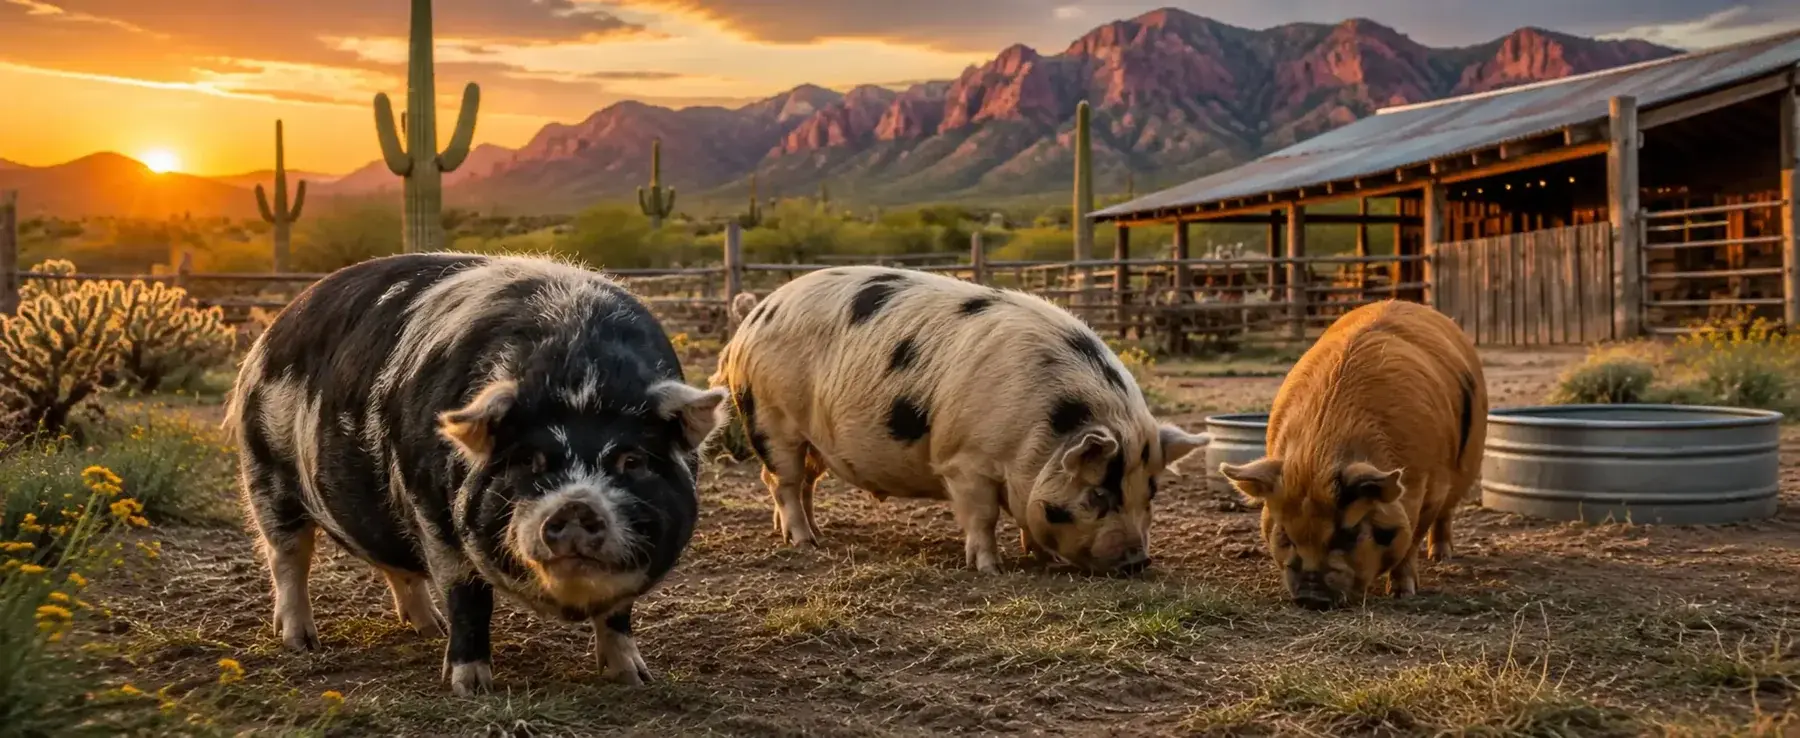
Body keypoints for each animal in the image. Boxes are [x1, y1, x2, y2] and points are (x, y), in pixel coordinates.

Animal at [224, 253, 727, 696]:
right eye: (528, 461)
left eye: (632, 461)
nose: (576, 506)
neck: (579, 376)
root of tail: (275, 328)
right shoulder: (433, 514)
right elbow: (469, 599)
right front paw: (471, 688)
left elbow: (619, 613)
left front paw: (635, 679)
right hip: (265, 475)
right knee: (288, 557)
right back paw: (302, 642)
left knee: (394, 564)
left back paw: (427, 628)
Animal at [710, 266, 1210, 574]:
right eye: (1099, 493)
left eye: (1151, 491)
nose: (1138, 561)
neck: (1039, 433)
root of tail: (751, 321)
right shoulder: (965, 461)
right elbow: (983, 516)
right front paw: (991, 568)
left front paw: (1039, 557)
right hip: (772, 417)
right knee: (782, 480)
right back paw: (804, 543)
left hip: (812, 438)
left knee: (804, 483)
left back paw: (815, 534)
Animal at [1219, 299, 1486, 609]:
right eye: (1285, 534)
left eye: (1349, 534)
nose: (1311, 597)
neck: (1319, 456)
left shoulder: (1432, 487)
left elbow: (1412, 540)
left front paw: (1402, 593)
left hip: (1468, 464)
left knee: (1446, 514)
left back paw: (1441, 557)